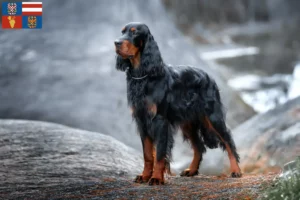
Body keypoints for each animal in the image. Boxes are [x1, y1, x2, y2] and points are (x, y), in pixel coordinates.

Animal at [114, 22, 241, 185]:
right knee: (199, 147)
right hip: (188, 122)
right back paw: (191, 170)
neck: (143, 76)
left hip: (212, 116)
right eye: (122, 32)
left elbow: (160, 154)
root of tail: (208, 76)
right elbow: (148, 154)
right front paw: (144, 176)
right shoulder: (141, 120)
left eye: (134, 33)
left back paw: (236, 170)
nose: (116, 43)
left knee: (228, 141)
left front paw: (156, 178)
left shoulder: (160, 120)